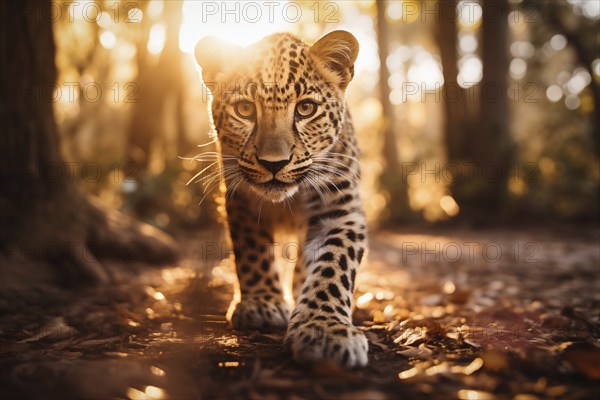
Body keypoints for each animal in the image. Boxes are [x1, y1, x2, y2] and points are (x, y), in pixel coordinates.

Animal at [195, 32, 368, 368]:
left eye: (306, 108)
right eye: (245, 110)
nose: (274, 163)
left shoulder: (340, 209)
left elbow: (334, 264)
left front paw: (324, 329)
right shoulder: (240, 198)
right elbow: (252, 251)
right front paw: (262, 303)